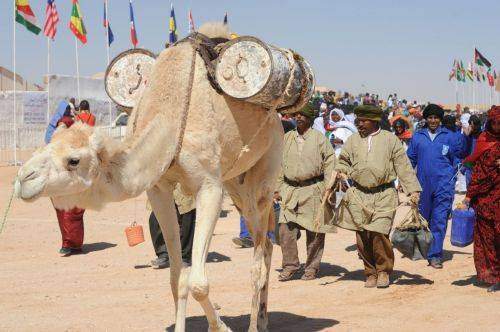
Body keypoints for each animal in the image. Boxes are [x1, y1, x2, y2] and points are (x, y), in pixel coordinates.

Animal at [12, 23, 300, 332]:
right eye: (46, 145)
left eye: (73, 161)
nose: (23, 178)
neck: (170, 116)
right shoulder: (159, 188)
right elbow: (177, 278)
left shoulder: (209, 186)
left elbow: (198, 283)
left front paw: (221, 326)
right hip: (236, 182)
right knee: (265, 243)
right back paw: (263, 318)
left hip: (267, 164)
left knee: (260, 254)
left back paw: (256, 323)